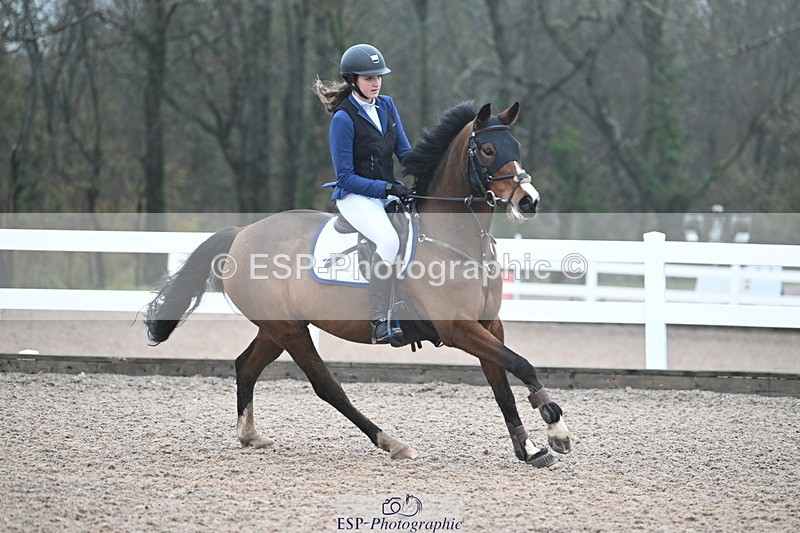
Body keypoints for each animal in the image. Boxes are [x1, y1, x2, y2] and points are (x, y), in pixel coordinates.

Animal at [145, 101, 573, 467]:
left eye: (515, 146)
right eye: (486, 150)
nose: (529, 200)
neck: (455, 238)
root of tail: (241, 234)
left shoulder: (488, 325)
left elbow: (503, 386)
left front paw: (529, 448)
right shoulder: (458, 329)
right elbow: (522, 364)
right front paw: (555, 428)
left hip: (276, 329)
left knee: (245, 366)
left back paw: (250, 435)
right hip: (290, 331)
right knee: (326, 386)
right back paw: (392, 443)